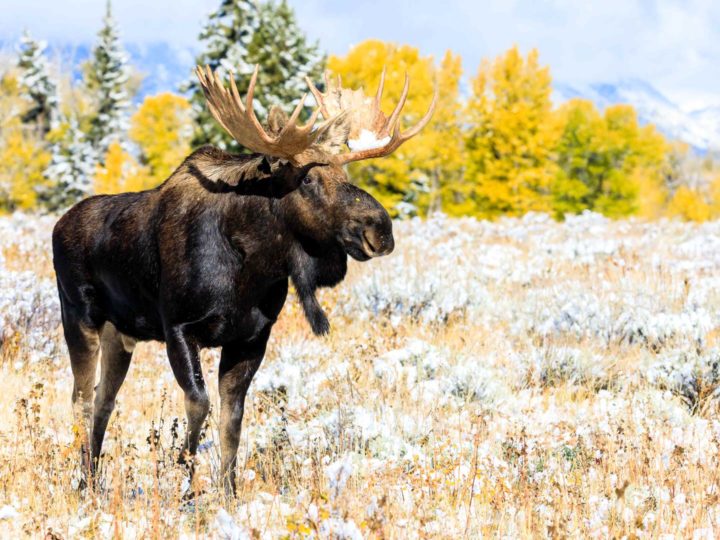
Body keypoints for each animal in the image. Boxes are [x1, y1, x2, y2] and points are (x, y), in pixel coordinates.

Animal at [53, 65, 436, 496]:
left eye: (345, 171)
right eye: (307, 181)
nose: (380, 229)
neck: (252, 270)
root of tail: (58, 225)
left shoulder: (251, 336)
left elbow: (231, 419)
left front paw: (228, 492)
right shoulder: (178, 326)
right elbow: (199, 404)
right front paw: (184, 482)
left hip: (121, 335)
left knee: (104, 398)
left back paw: (92, 479)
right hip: (79, 317)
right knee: (81, 398)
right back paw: (82, 482)